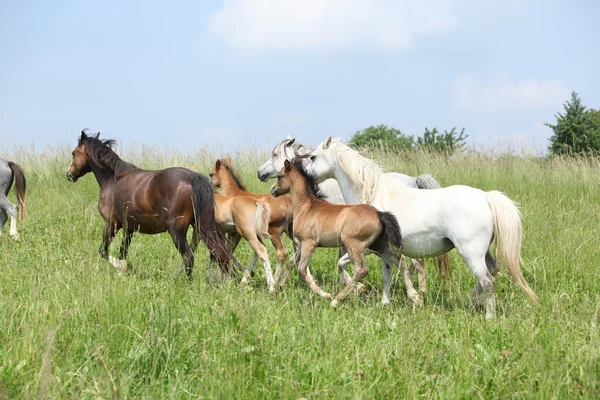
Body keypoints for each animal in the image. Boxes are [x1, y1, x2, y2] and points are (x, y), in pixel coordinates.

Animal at [65, 131, 230, 278]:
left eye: (73, 153)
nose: (69, 175)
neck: (113, 179)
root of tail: (192, 177)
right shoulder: (129, 229)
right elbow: (122, 252)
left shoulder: (111, 224)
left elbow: (103, 251)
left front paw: (124, 268)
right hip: (200, 227)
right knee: (216, 253)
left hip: (177, 231)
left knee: (189, 256)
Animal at [210, 159, 294, 288]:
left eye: (211, 174)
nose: (209, 184)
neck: (233, 194)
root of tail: (288, 200)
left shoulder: (236, 232)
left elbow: (229, 250)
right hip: (292, 232)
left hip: (274, 232)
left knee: (281, 253)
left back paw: (274, 283)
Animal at [274, 158, 408, 308]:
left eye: (279, 176)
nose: (272, 191)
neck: (306, 207)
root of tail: (379, 214)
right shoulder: (302, 244)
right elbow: (291, 262)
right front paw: (278, 287)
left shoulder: (309, 243)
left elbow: (302, 270)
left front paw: (326, 295)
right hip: (379, 246)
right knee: (400, 261)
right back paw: (414, 297)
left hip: (354, 245)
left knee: (362, 270)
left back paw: (336, 300)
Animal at [304, 138, 540, 318]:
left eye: (313, 157)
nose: (306, 176)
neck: (371, 194)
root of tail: (486, 198)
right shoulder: (383, 251)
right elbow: (387, 274)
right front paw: (385, 302)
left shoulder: (369, 248)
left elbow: (345, 264)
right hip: (483, 253)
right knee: (492, 270)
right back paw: (472, 300)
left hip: (470, 253)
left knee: (488, 280)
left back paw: (489, 316)